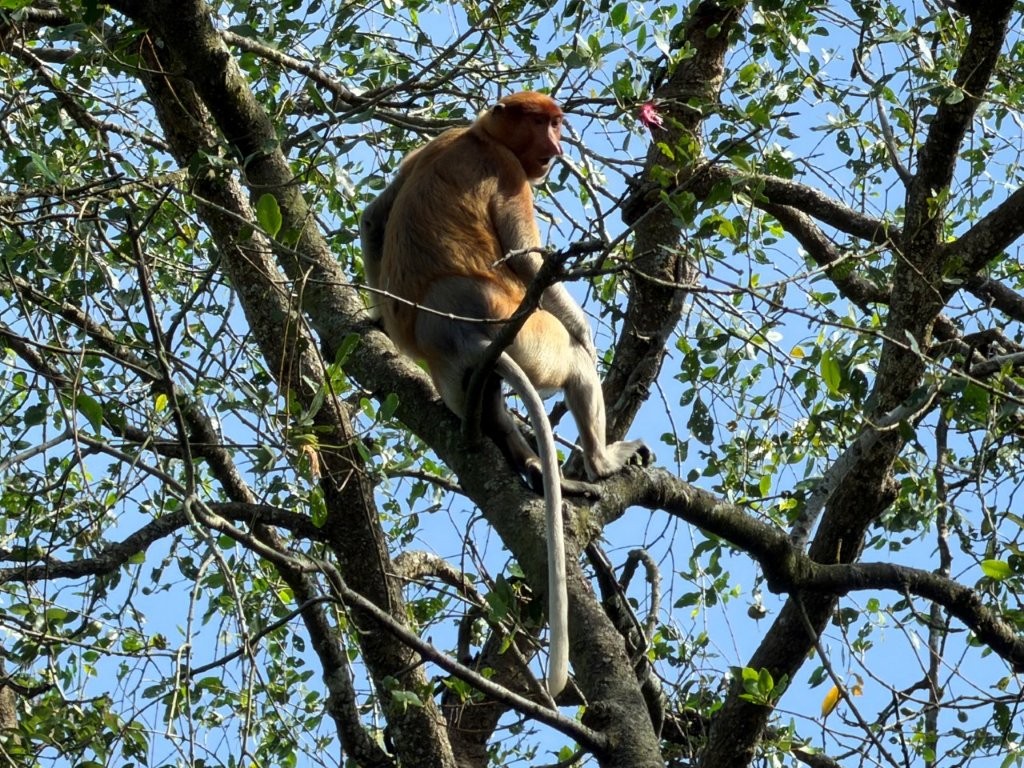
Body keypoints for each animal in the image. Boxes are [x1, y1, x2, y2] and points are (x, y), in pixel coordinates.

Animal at [361, 91, 649, 696]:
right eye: (544, 124)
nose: (556, 147)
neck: (478, 134)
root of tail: (454, 334)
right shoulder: (509, 175)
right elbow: (526, 259)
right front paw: (587, 331)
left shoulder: (432, 143)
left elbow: (374, 217)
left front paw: (377, 318)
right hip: (526, 335)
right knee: (572, 359)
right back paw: (600, 461)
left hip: (469, 371)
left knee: (486, 400)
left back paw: (525, 459)